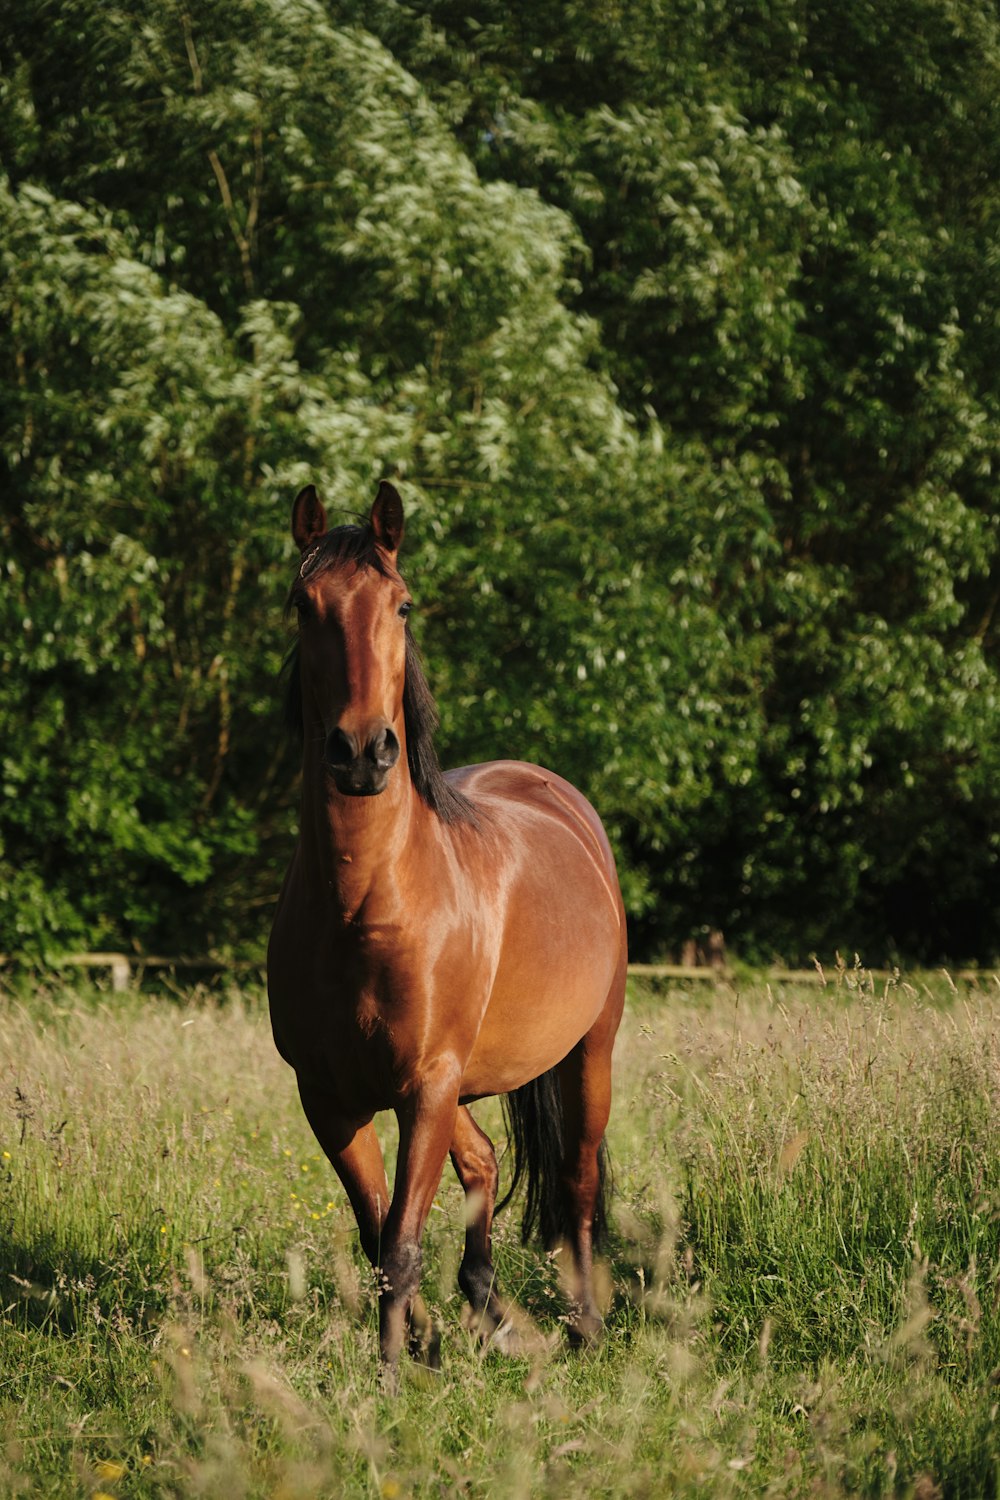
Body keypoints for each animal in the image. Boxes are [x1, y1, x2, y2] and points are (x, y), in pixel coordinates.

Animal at [265, 480, 626, 1380]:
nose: (362, 753)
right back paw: (491, 1312)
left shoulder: (424, 1088)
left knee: (575, 1184)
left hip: (589, 1049)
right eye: (302, 605)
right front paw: (422, 1347)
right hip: (460, 1084)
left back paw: (583, 1327)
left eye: (401, 604)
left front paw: (392, 1378)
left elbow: (398, 1244)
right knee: (487, 1163)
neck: (365, 909)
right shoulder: (330, 1096)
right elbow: (376, 1235)